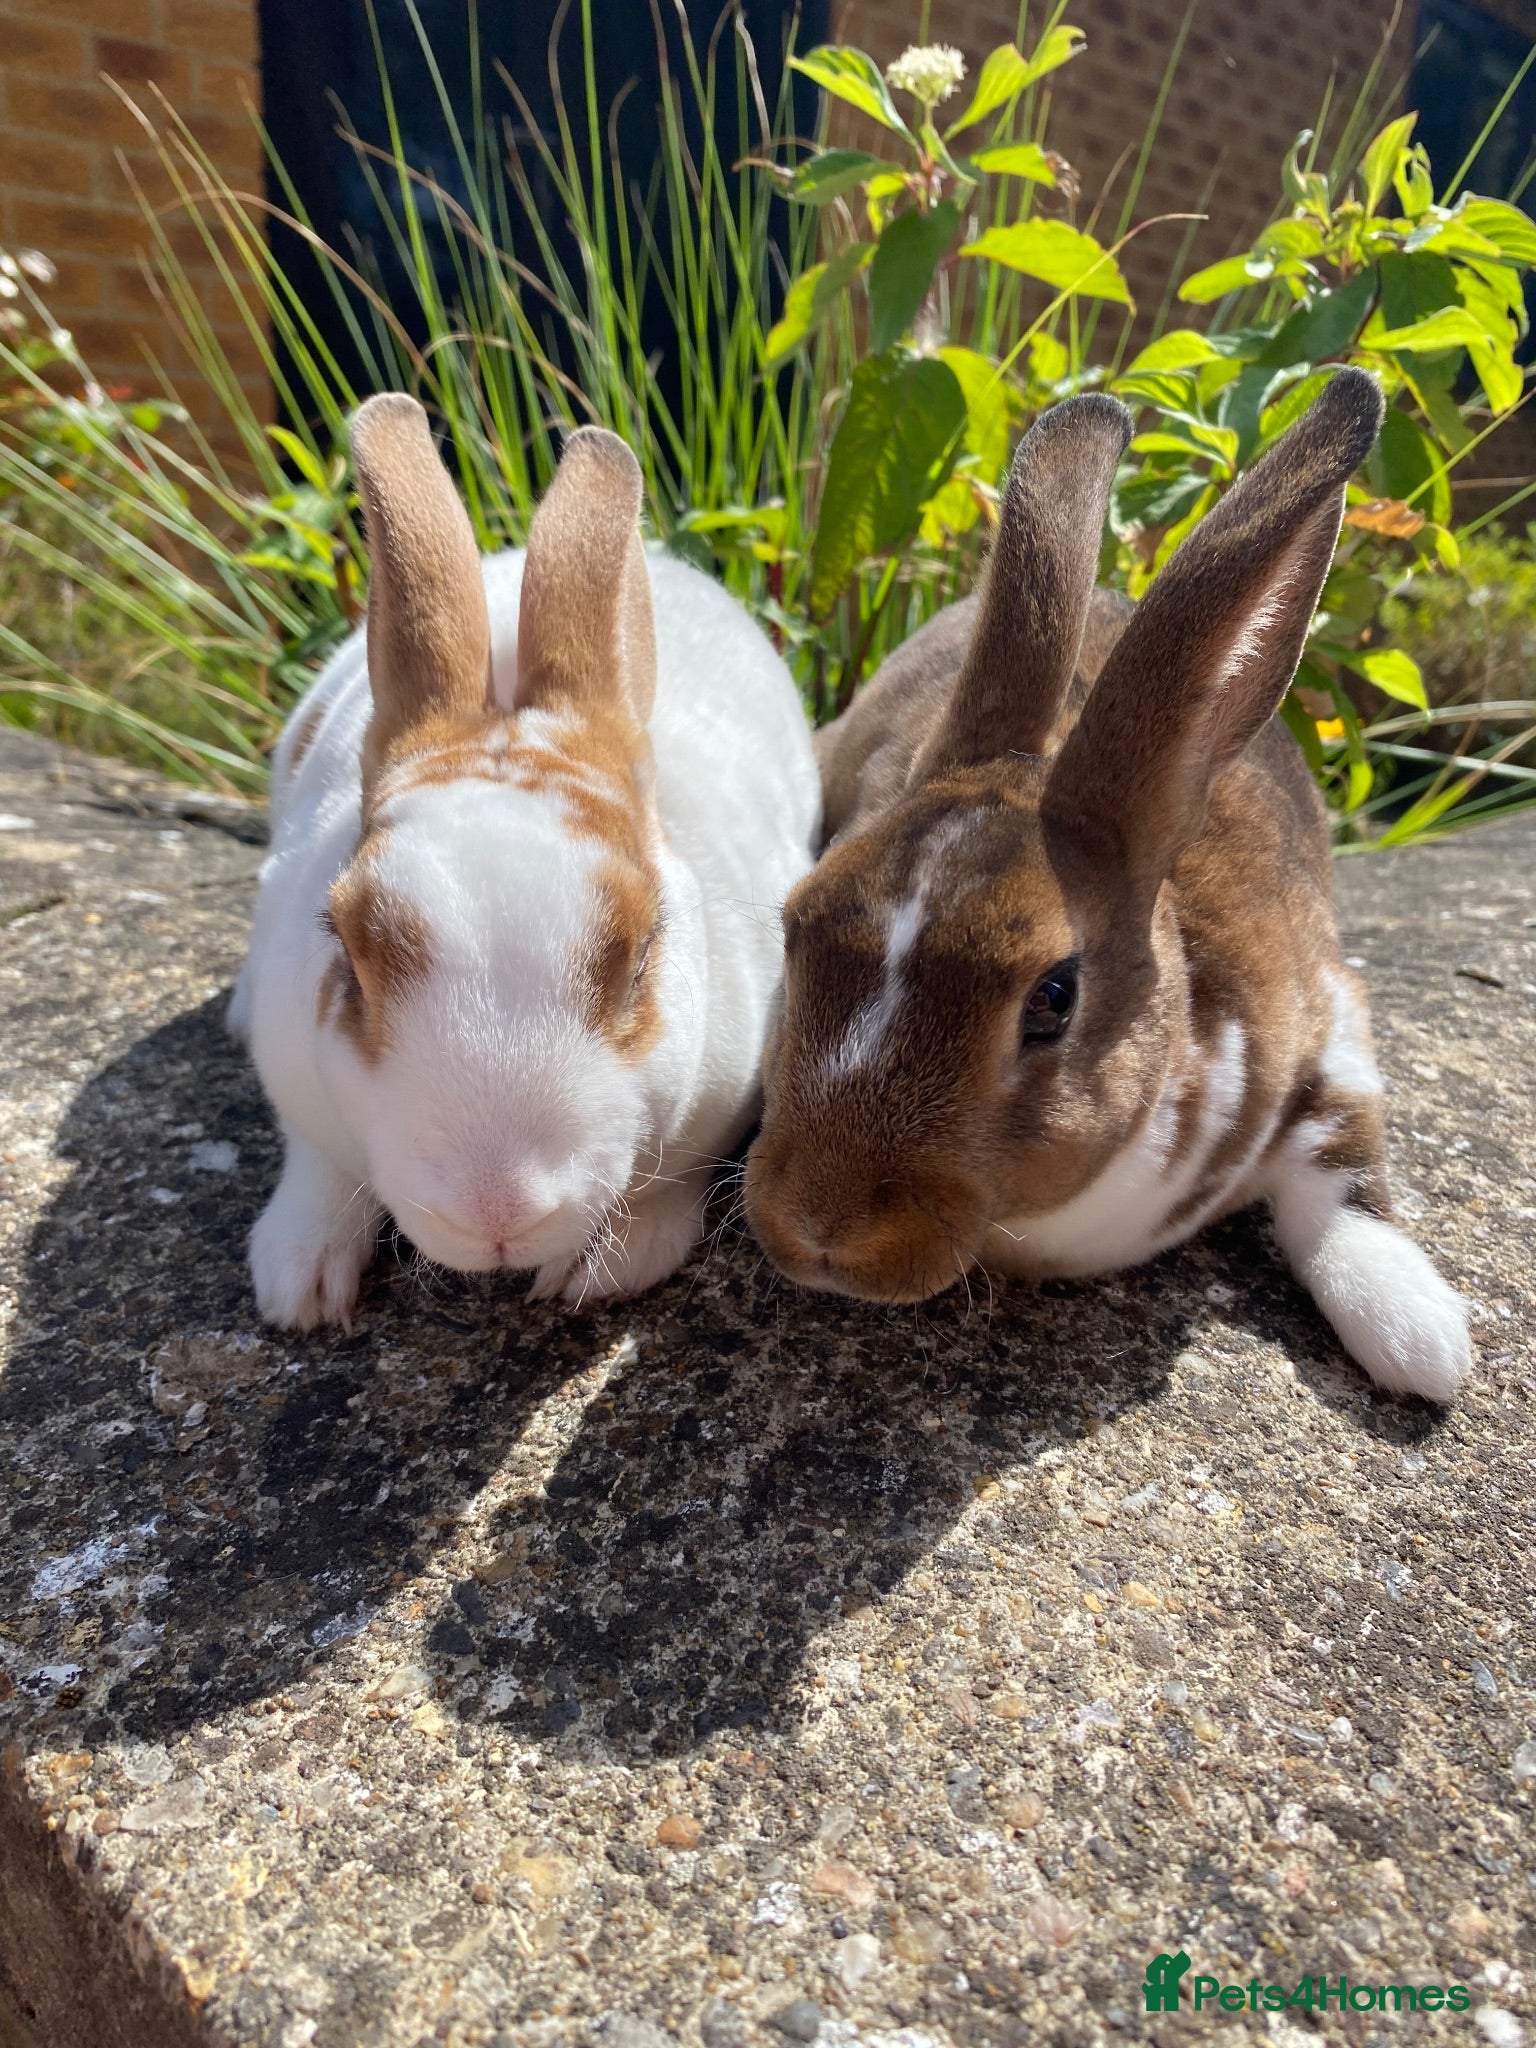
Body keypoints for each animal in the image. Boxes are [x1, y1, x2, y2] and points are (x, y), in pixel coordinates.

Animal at [233, 394, 821, 1330]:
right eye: (348, 955)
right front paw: (301, 1289)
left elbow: (668, 1187)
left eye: (640, 959)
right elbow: (319, 1172)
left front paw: (596, 1271)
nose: (496, 1212)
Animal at [743, 368, 1472, 1403]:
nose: (819, 1227)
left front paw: (1419, 1339)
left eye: (1054, 999)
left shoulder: (1333, 1024)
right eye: (794, 927)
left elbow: (1342, 1164)